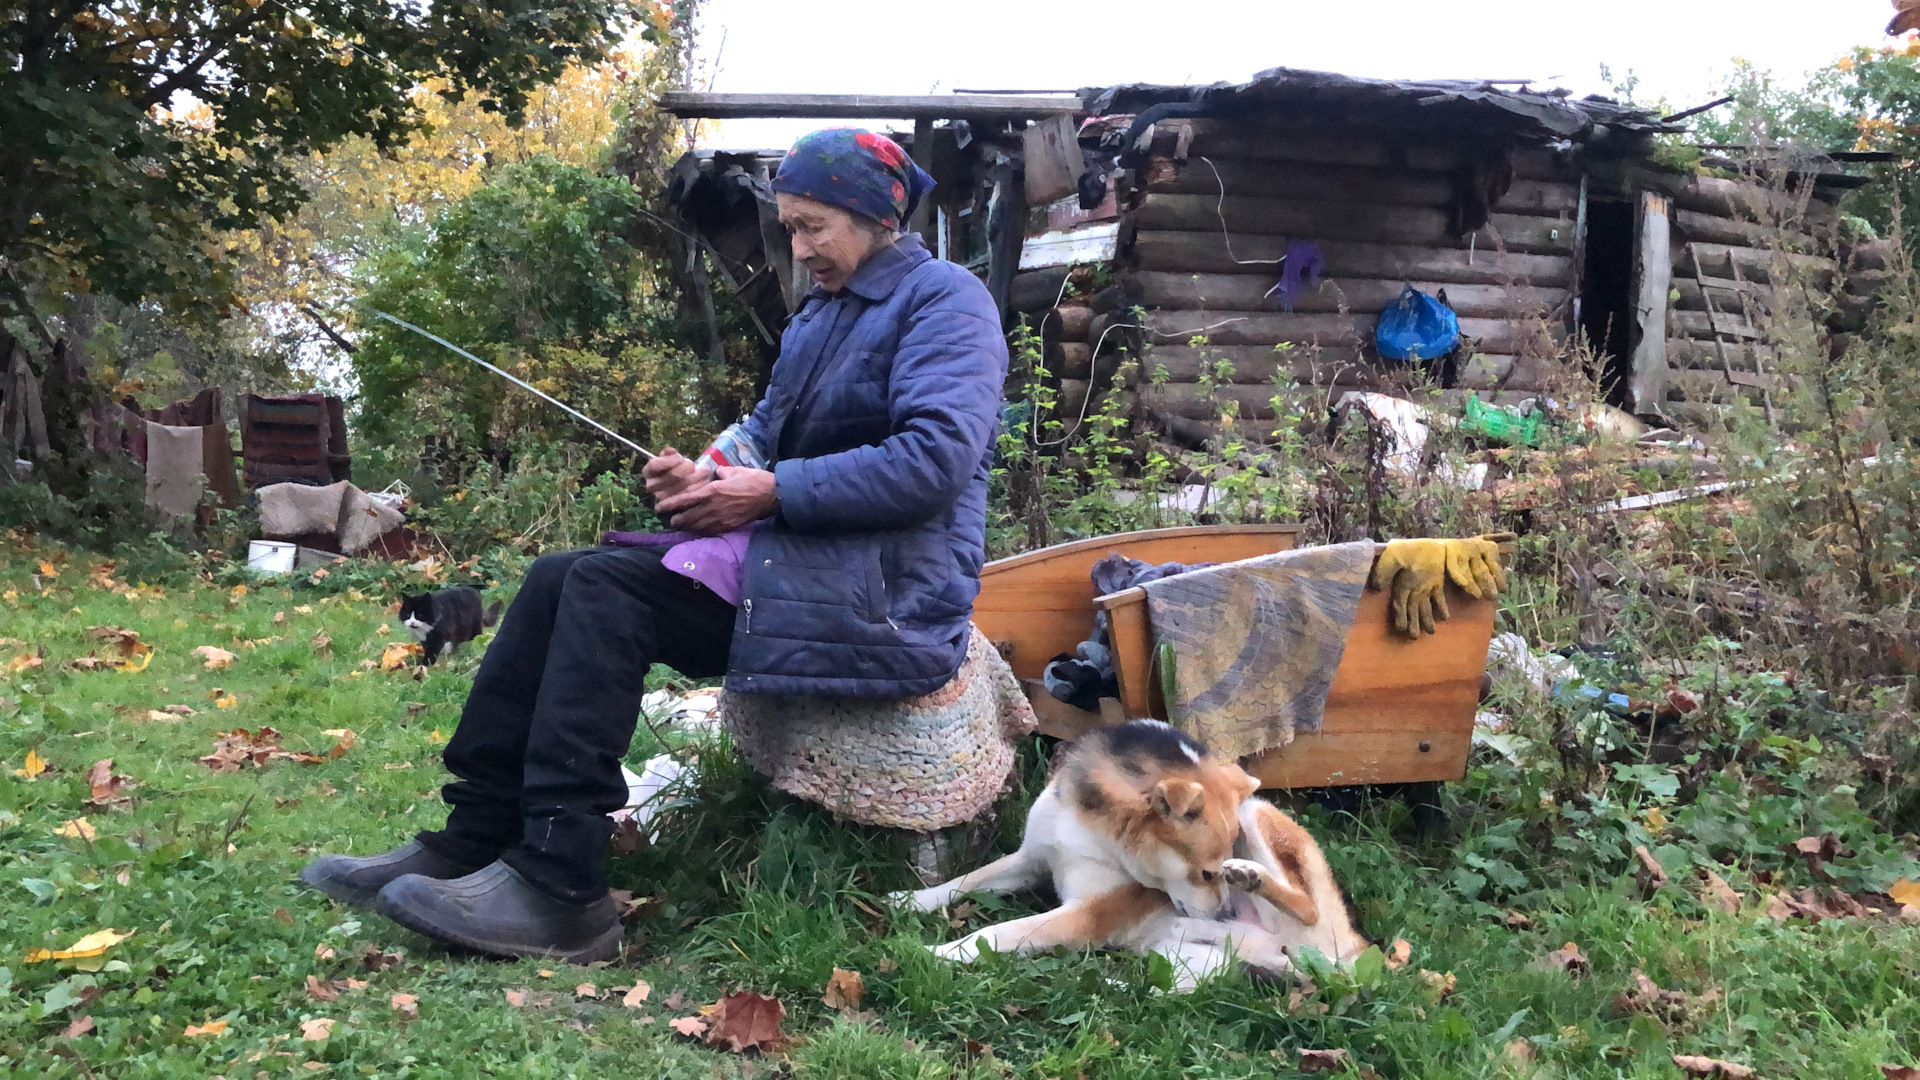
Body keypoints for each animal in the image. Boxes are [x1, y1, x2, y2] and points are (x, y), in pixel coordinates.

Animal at [898, 714, 1367, 983]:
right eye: (1205, 873)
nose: (1225, 912)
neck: (1092, 829)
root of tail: (1355, 950)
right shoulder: (1031, 860)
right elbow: (969, 879)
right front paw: (912, 899)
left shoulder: (1086, 914)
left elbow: (995, 933)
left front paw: (941, 953)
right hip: (1187, 959)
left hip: (1257, 812)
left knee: (1308, 906)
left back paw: (1251, 877)